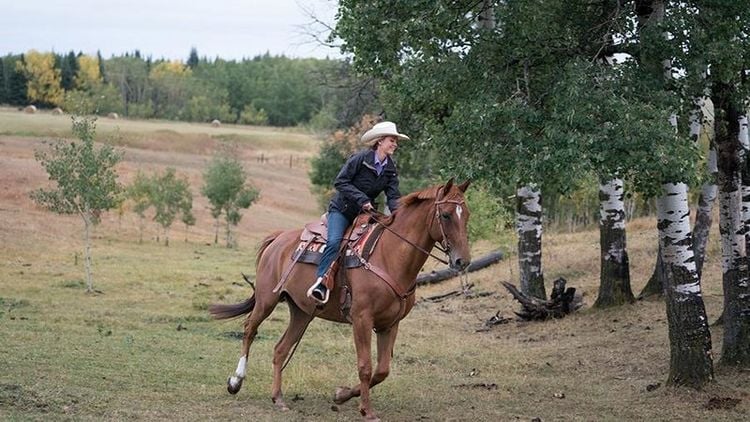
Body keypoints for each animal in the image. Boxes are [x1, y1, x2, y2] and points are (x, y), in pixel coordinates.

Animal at [209, 178, 471, 420]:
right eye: (446, 215)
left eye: (466, 214)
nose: (463, 261)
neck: (389, 255)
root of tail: (278, 238)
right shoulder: (361, 319)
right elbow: (365, 366)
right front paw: (366, 410)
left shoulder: (390, 324)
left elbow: (382, 370)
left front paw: (341, 395)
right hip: (267, 300)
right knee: (249, 330)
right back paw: (235, 382)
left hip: (301, 312)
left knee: (280, 349)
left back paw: (278, 398)